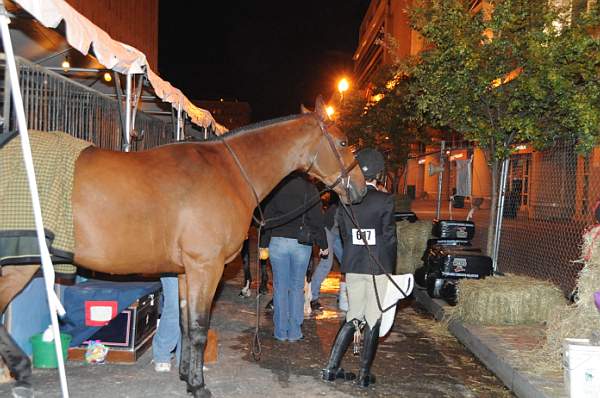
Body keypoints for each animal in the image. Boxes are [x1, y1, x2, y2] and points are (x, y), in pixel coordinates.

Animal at [0, 97, 366, 398]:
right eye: (343, 142)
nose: (361, 190)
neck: (229, 172)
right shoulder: (206, 267)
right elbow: (200, 328)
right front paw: (199, 386)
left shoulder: (186, 273)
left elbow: (186, 325)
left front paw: (187, 377)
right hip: (18, 263)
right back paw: (20, 371)